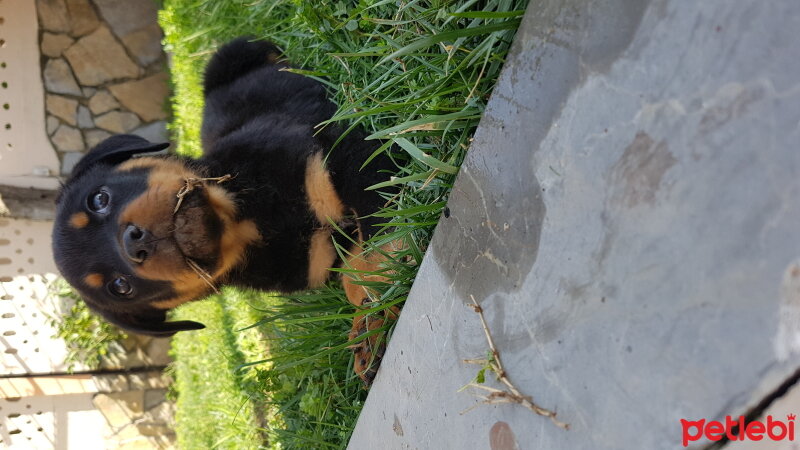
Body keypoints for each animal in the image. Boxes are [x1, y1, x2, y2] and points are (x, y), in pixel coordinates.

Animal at [50, 38, 396, 384]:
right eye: (120, 287)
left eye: (99, 199)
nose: (134, 244)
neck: (250, 219)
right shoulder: (322, 258)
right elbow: (356, 270)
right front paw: (367, 329)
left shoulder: (337, 159)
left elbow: (377, 241)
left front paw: (370, 325)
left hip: (231, 55)